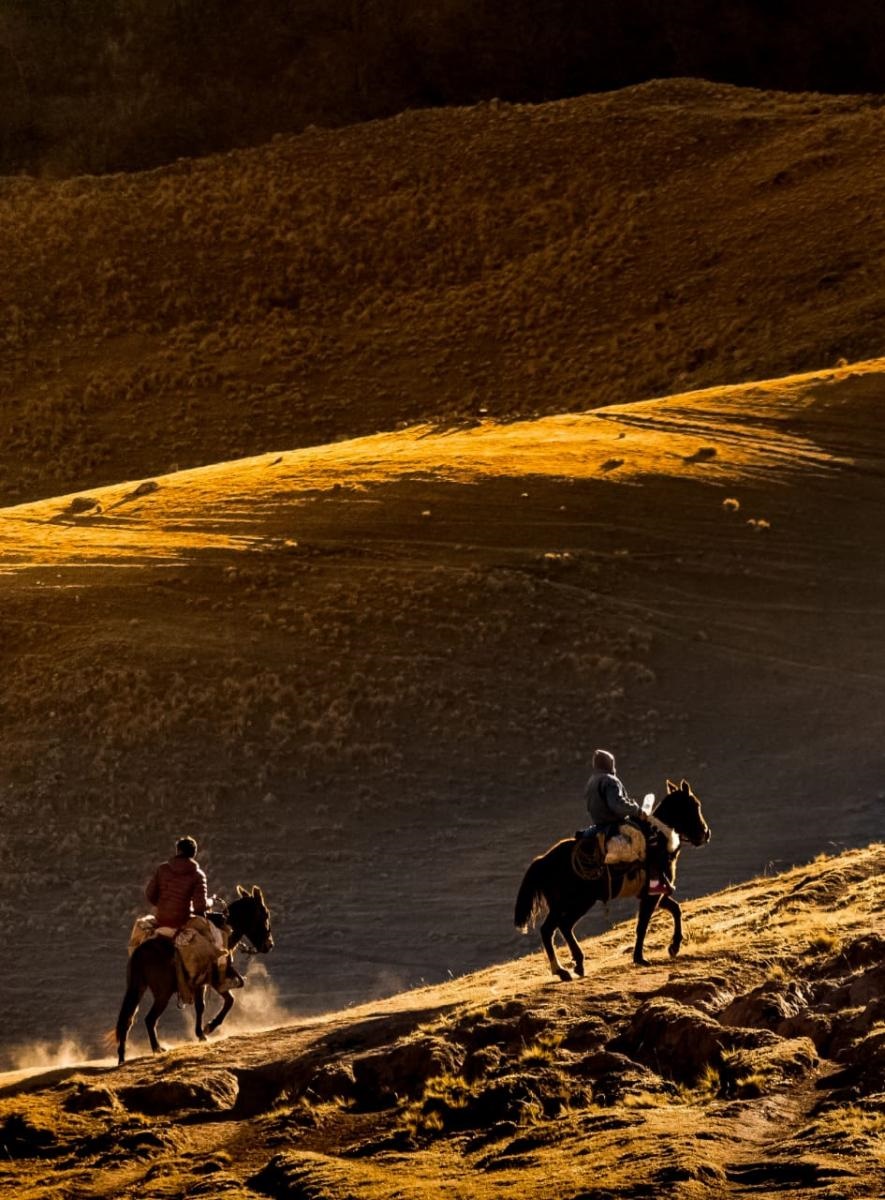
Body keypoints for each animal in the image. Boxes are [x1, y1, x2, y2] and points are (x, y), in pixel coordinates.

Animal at [115, 888, 272, 1065]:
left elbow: (208, 1004)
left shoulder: (203, 983)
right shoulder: (212, 980)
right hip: (163, 994)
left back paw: (122, 1057)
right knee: (149, 1019)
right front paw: (208, 1028)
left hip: (137, 988)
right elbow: (224, 1002)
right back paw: (157, 1049)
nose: (269, 945)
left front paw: (202, 1032)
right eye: (265, 914)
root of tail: (141, 952)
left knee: (127, 1021)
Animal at [513, 777, 705, 984]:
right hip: (571, 904)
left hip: (576, 904)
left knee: (564, 926)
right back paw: (562, 970)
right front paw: (640, 958)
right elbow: (643, 925)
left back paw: (578, 964)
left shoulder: (655, 894)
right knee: (549, 929)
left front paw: (674, 946)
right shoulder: (651, 896)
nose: (706, 833)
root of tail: (543, 860)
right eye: (695, 805)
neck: (658, 841)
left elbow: (676, 909)